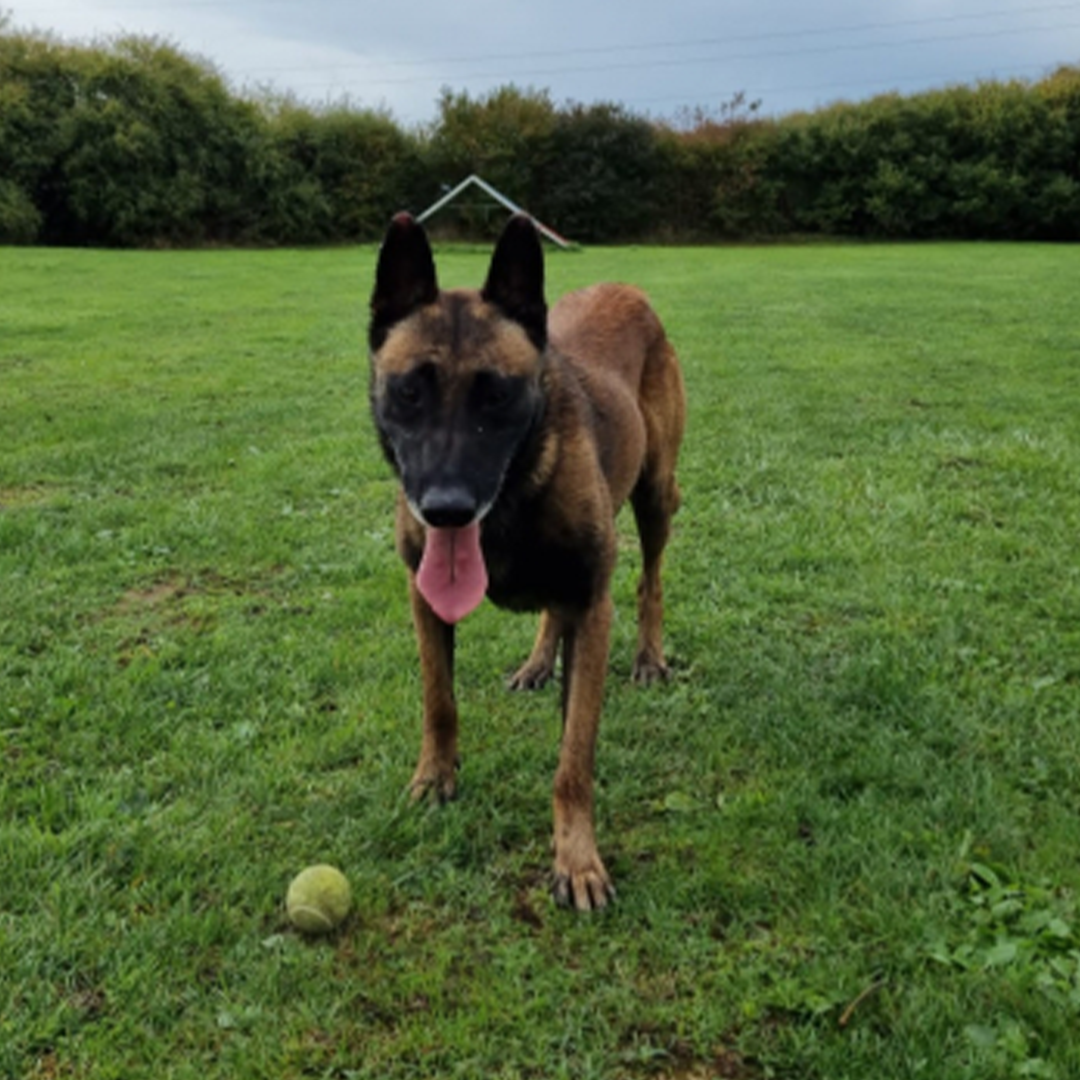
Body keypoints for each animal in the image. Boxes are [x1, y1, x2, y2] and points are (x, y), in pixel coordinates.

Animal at [365, 212, 682, 911]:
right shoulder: (424, 599)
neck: (510, 504)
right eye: (409, 392)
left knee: (650, 581)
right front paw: (434, 779)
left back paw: (649, 657)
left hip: (655, 495)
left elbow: (574, 757)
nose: (447, 509)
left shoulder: (593, 606)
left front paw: (577, 858)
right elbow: (439, 701)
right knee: (550, 613)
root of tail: (626, 288)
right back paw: (538, 663)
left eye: (497, 397)